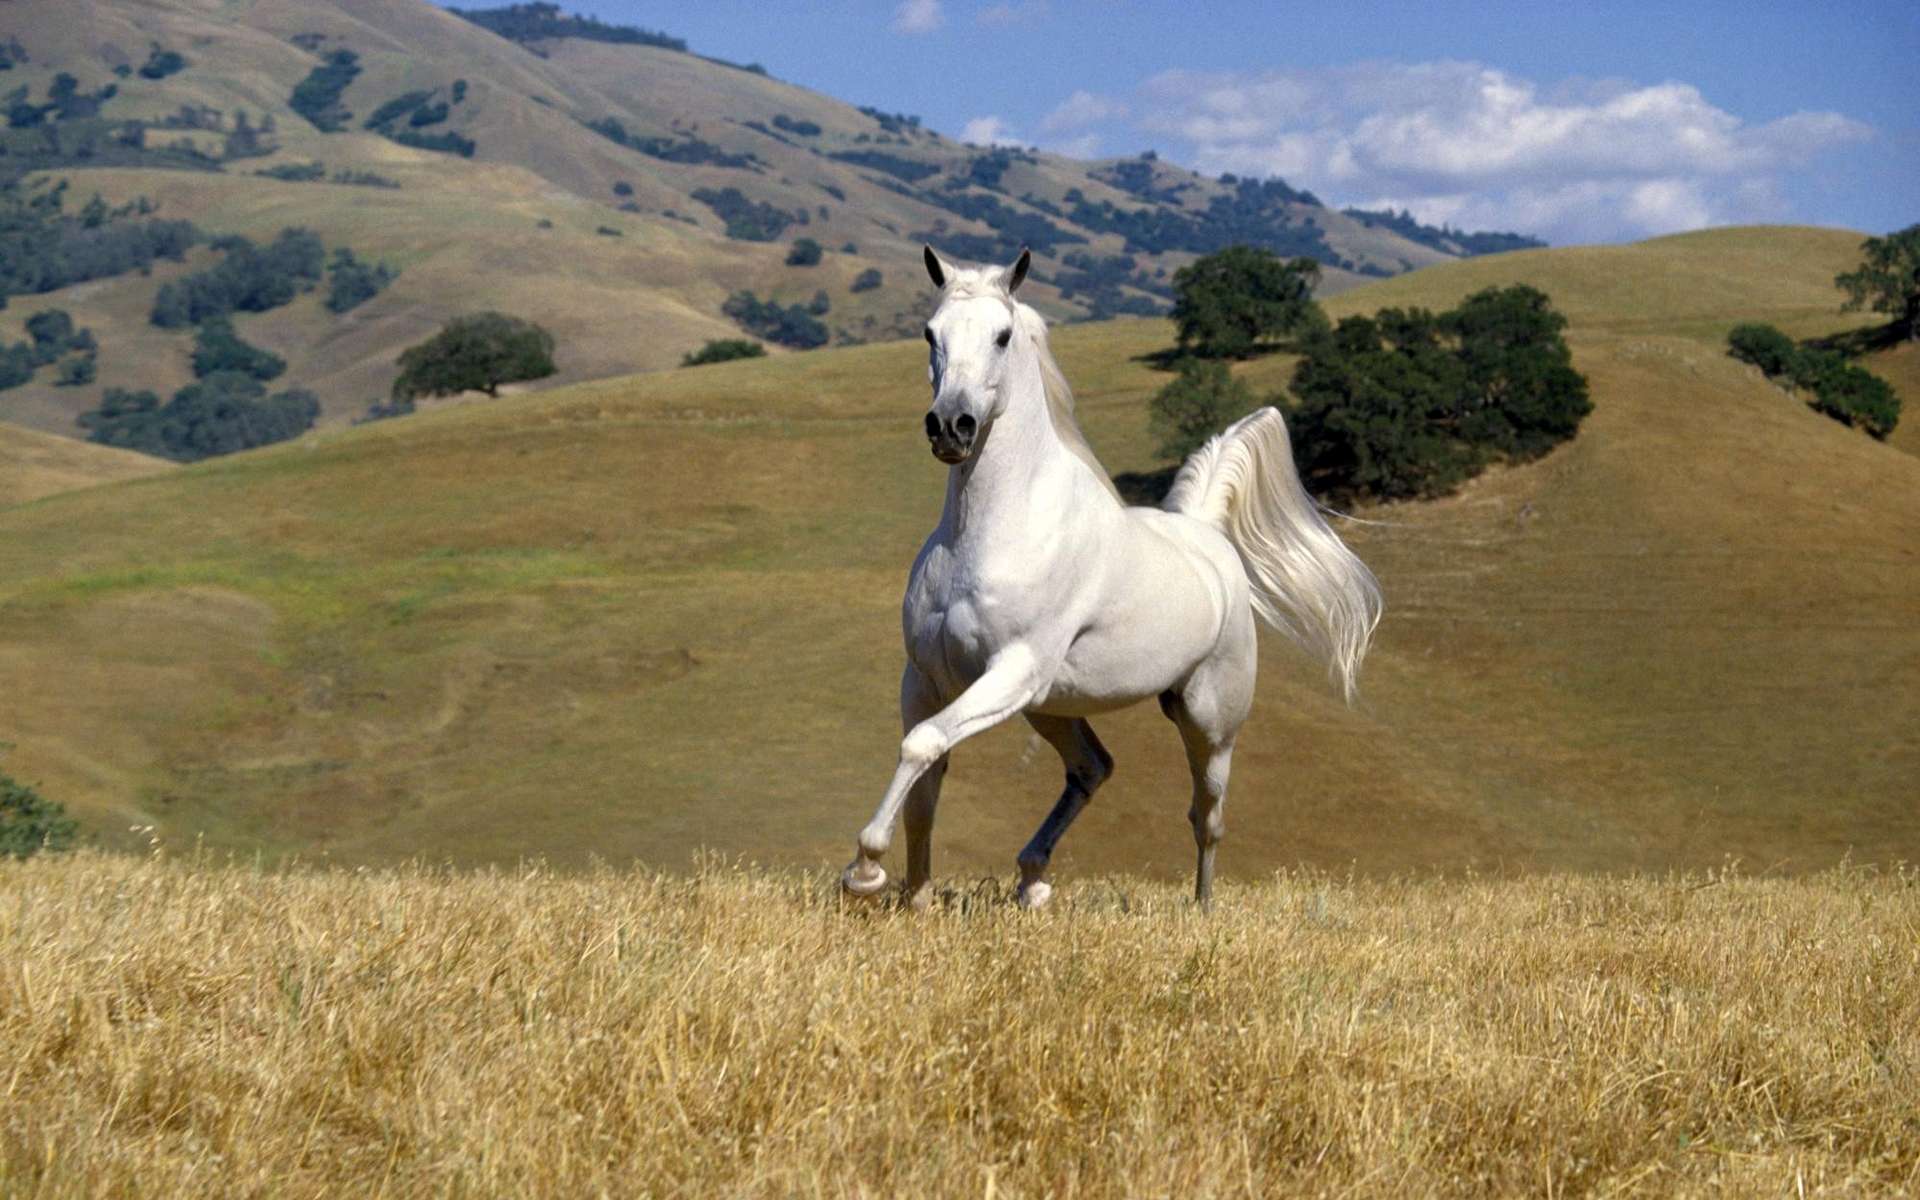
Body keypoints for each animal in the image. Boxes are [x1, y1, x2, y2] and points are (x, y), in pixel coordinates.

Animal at [840, 246, 1382, 909]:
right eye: (930, 333)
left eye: (1002, 335)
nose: (951, 426)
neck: (988, 532)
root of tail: (1206, 535)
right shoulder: (926, 677)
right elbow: (925, 777)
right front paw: (913, 898)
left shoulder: (1011, 669)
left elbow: (921, 745)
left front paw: (865, 872)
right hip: (1049, 707)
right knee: (1093, 767)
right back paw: (1032, 879)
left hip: (1207, 720)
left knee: (1207, 817)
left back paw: (1200, 910)